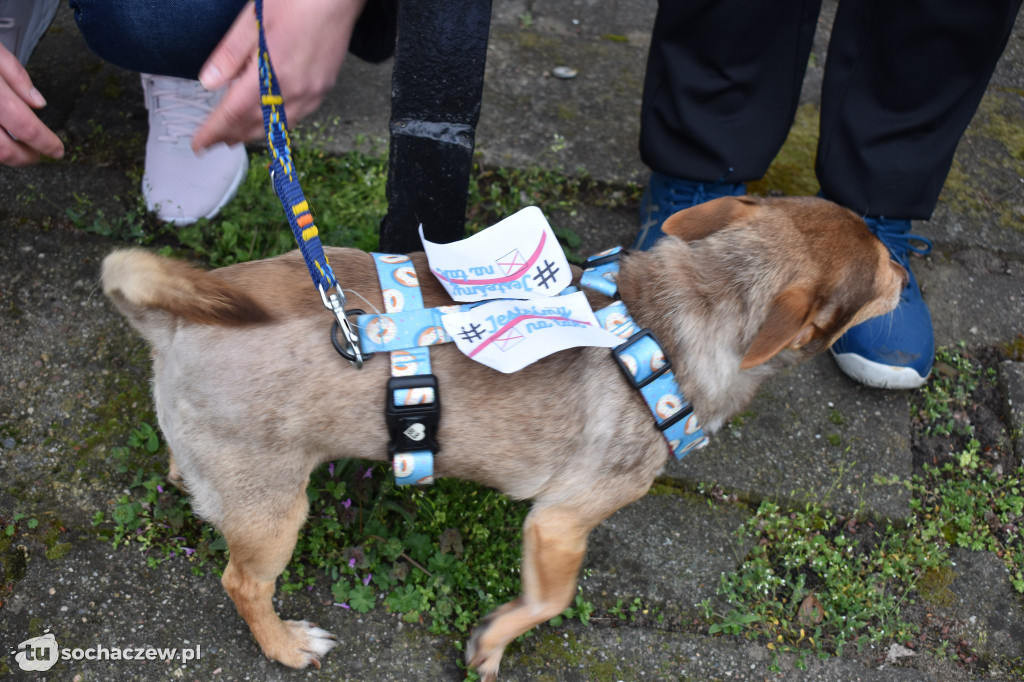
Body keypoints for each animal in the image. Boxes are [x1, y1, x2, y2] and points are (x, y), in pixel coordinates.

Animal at [101, 195, 905, 675]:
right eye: (880, 268)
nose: (907, 261)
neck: (695, 304)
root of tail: (167, 320)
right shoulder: (559, 523)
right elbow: (548, 601)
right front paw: (489, 645)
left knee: (187, 477)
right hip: (277, 516)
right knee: (242, 583)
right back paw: (284, 646)